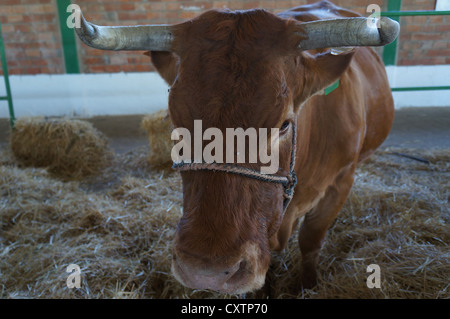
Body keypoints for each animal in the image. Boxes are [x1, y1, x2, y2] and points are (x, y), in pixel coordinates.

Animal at [74, 0, 400, 296]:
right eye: (174, 121)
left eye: (284, 124)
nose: (205, 272)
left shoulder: (341, 182)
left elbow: (311, 240)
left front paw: (307, 285)